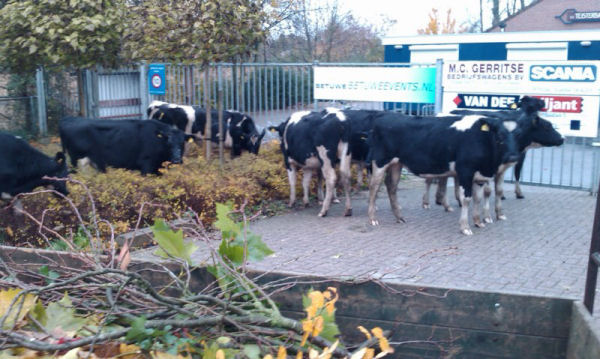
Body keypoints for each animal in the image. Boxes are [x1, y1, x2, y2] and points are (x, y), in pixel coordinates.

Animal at [59, 117, 193, 175]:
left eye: (182, 142)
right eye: (168, 143)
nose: (176, 159)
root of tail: (69, 120)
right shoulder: (146, 165)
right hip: (75, 159)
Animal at [366, 112, 520, 236]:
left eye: (519, 135)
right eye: (500, 136)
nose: (513, 157)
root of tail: (385, 115)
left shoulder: (480, 176)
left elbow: (478, 198)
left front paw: (478, 221)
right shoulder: (465, 171)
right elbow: (466, 199)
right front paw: (465, 227)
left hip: (397, 164)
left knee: (391, 187)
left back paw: (399, 217)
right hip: (380, 161)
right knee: (374, 187)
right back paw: (372, 218)